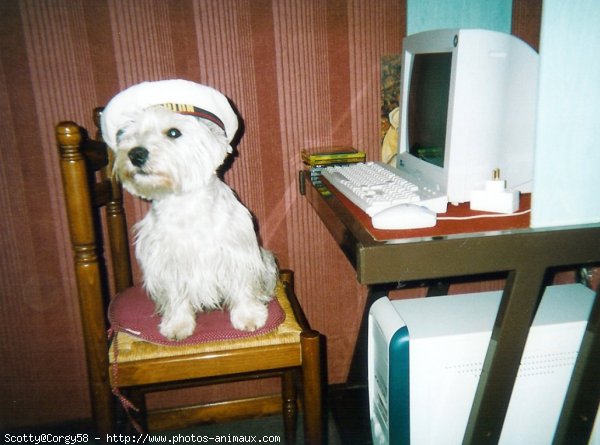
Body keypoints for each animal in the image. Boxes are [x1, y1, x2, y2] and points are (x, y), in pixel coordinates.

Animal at [102, 80, 278, 340]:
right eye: (128, 134)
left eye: (174, 132)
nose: (136, 153)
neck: (183, 202)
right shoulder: (168, 264)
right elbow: (177, 297)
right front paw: (177, 326)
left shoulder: (236, 254)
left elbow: (242, 286)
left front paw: (249, 318)